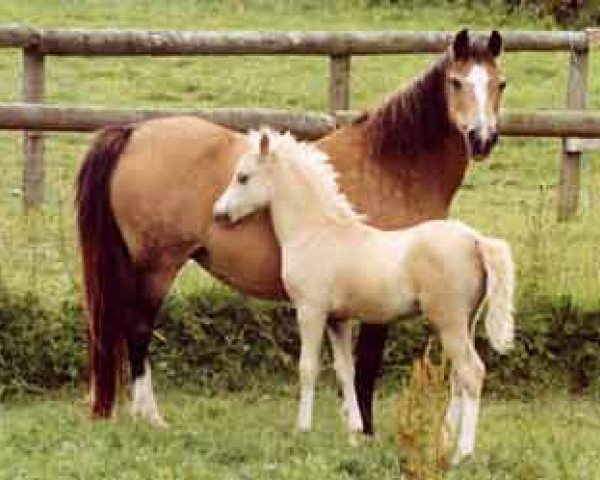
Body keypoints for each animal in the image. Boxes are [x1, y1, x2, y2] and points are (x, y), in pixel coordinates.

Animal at [213, 130, 512, 462]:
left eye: (243, 177)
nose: (219, 214)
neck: (316, 233)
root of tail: (475, 240)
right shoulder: (338, 320)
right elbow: (346, 370)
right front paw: (355, 434)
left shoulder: (310, 310)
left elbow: (308, 368)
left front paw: (302, 429)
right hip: (466, 323)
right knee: (459, 377)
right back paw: (445, 443)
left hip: (449, 322)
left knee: (472, 372)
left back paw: (463, 453)